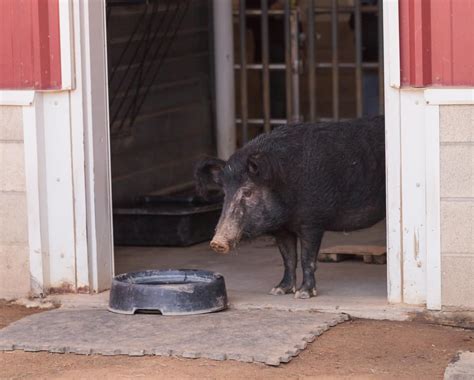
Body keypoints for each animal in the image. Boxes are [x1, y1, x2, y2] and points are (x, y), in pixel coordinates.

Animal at [195, 114, 386, 298]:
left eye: (248, 192)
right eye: (225, 193)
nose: (216, 242)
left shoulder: (313, 222)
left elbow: (306, 258)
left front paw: (303, 295)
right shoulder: (282, 229)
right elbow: (288, 258)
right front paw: (278, 291)